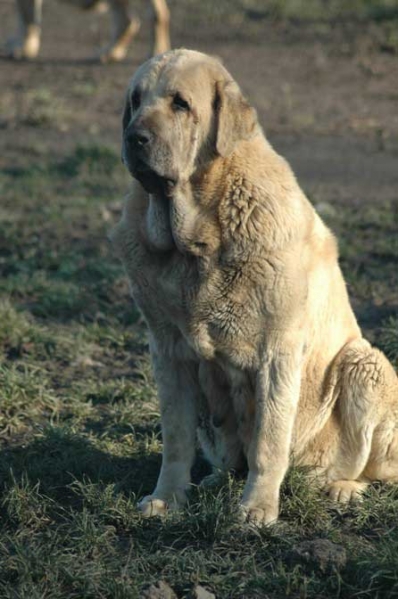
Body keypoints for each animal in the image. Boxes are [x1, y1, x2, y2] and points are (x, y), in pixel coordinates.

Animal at [7, 0, 169, 62]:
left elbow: (26, 14)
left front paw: (22, 51)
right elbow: (25, 13)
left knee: (155, 13)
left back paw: (156, 54)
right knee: (125, 17)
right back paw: (109, 54)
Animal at [111, 49, 398, 524]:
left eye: (180, 104)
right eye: (135, 101)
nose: (135, 137)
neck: (197, 239)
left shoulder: (276, 353)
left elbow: (269, 439)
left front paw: (257, 508)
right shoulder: (168, 351)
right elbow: (176, 438)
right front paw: (167, 497)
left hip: (364, 364)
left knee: (374, 468)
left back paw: (342, 487)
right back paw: (217, 480)